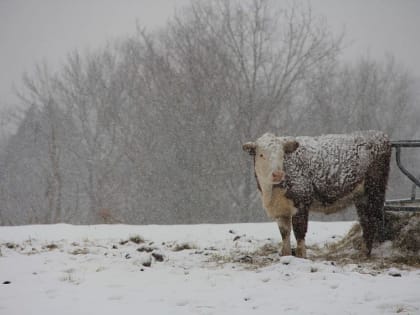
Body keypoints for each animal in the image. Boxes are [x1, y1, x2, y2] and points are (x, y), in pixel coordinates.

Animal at [241, 130, 392, 258]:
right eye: (261, 155)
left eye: (282, 154)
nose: (278, 174)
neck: (271, 192)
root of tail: (379, 135)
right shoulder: (280, 210)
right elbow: (284, 233)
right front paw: (286, 254)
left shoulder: (301, 202)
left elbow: (299, 232)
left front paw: (301, 256)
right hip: (361, 197)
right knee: (366, 221)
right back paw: (363, 253)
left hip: (374, 190)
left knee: (375, 219)